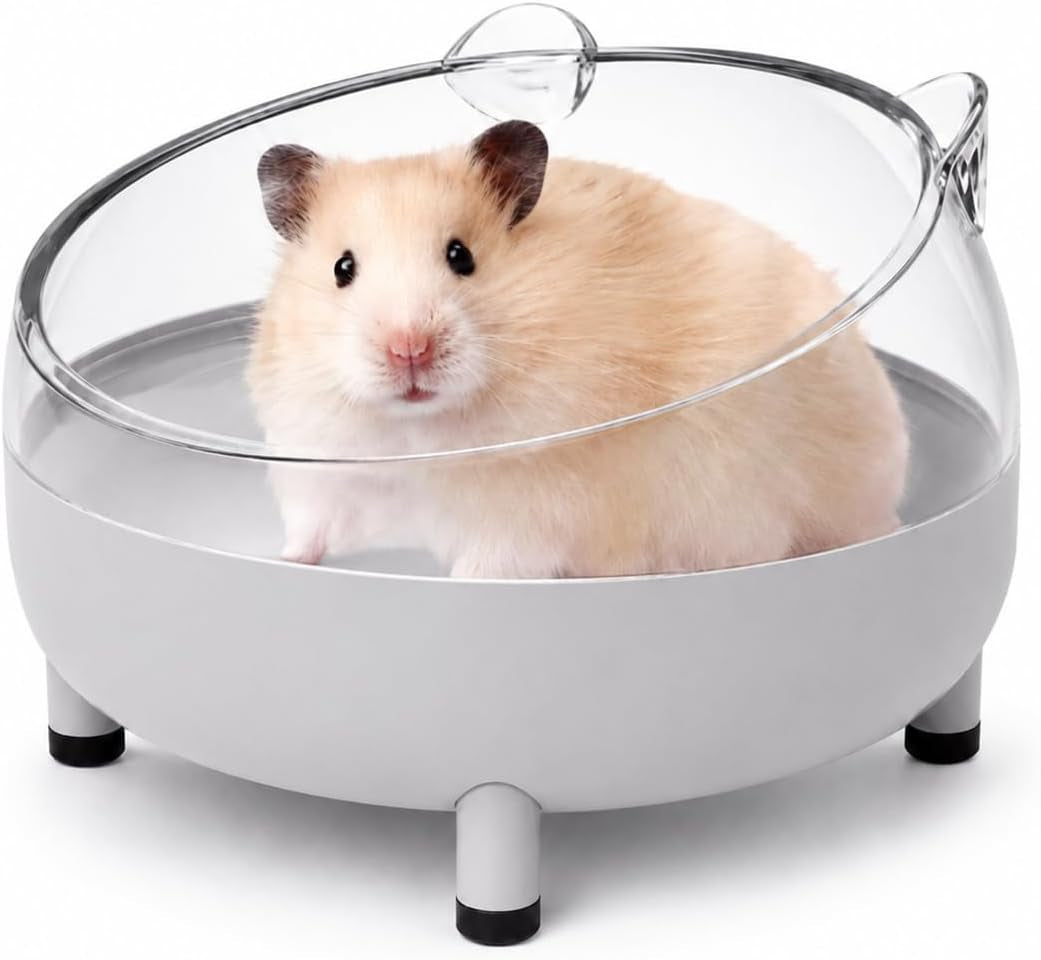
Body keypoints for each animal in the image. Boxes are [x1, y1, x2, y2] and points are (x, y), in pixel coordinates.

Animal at [248, 120, 908, 577]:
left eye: (462, 256)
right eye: (343, 268)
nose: (408, 349)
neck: (416, 434)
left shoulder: (530, 513)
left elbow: (486, 565)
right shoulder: (319, 474)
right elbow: (308, 531)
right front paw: (282, 563)